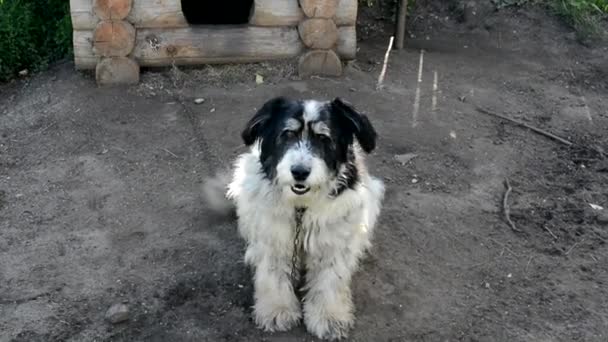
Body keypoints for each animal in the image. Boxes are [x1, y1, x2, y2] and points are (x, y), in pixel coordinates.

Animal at [204, 96, 384, 340]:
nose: (299, 172)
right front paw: (276, 309)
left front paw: (329, 316)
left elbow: (330, 279)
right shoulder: (274, 238)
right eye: (287, 134)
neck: (301, 206)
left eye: (323, 137)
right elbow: (273, 275)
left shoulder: (332, 242)